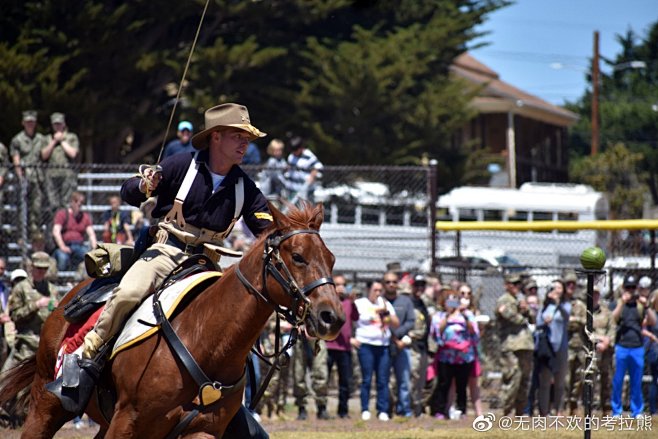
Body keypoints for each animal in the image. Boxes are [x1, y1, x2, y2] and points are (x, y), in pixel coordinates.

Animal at [0, 203, 346, 436]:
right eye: (297, 256)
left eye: (331, 259)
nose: (332, 317)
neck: (205, 339)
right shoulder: (127, 422)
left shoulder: (202, 431)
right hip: (46, 404)